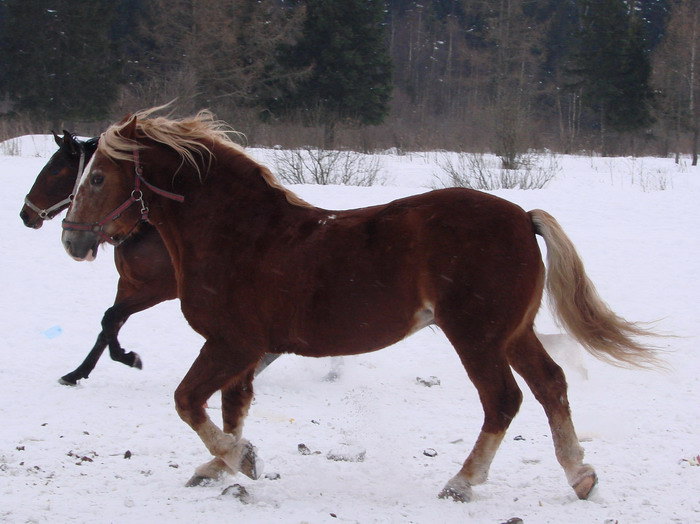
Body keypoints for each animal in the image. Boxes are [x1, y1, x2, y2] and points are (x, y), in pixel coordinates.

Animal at [19, 131, 278, 384]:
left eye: (55, 169)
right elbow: (109, 325)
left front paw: (129, 357)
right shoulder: (128, 284)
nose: (25, 214)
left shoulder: (159, 289)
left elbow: (112, 317)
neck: (148, 230)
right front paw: (78, 373)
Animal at [61, 108, 660, 502]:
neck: (236, 233)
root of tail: (521, 216)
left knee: (503, 400)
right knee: (551, 385)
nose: (72, 239)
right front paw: (223, 465)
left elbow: (189, 402)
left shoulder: (232, 344)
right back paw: (580, 476)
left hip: (477, 336)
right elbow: (232, 408)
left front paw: (239, 461)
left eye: (97, 176)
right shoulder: (244, 352)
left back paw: (462, 482)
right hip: (513, 333)